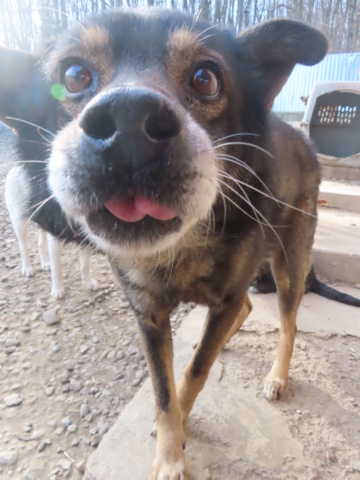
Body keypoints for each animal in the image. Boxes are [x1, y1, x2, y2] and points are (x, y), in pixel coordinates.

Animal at [0, 8, 330, 480]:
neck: (179, 247)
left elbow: (194, 373)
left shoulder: (225, 295)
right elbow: (162, 390)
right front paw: (169, 452)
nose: (127, 120)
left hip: (289, 260)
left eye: (205, 79)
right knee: (246, 308)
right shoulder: (149, 315)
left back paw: (276, 377)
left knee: (288, 323)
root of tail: (303, 138)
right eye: (75, 75)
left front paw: (179, 438)